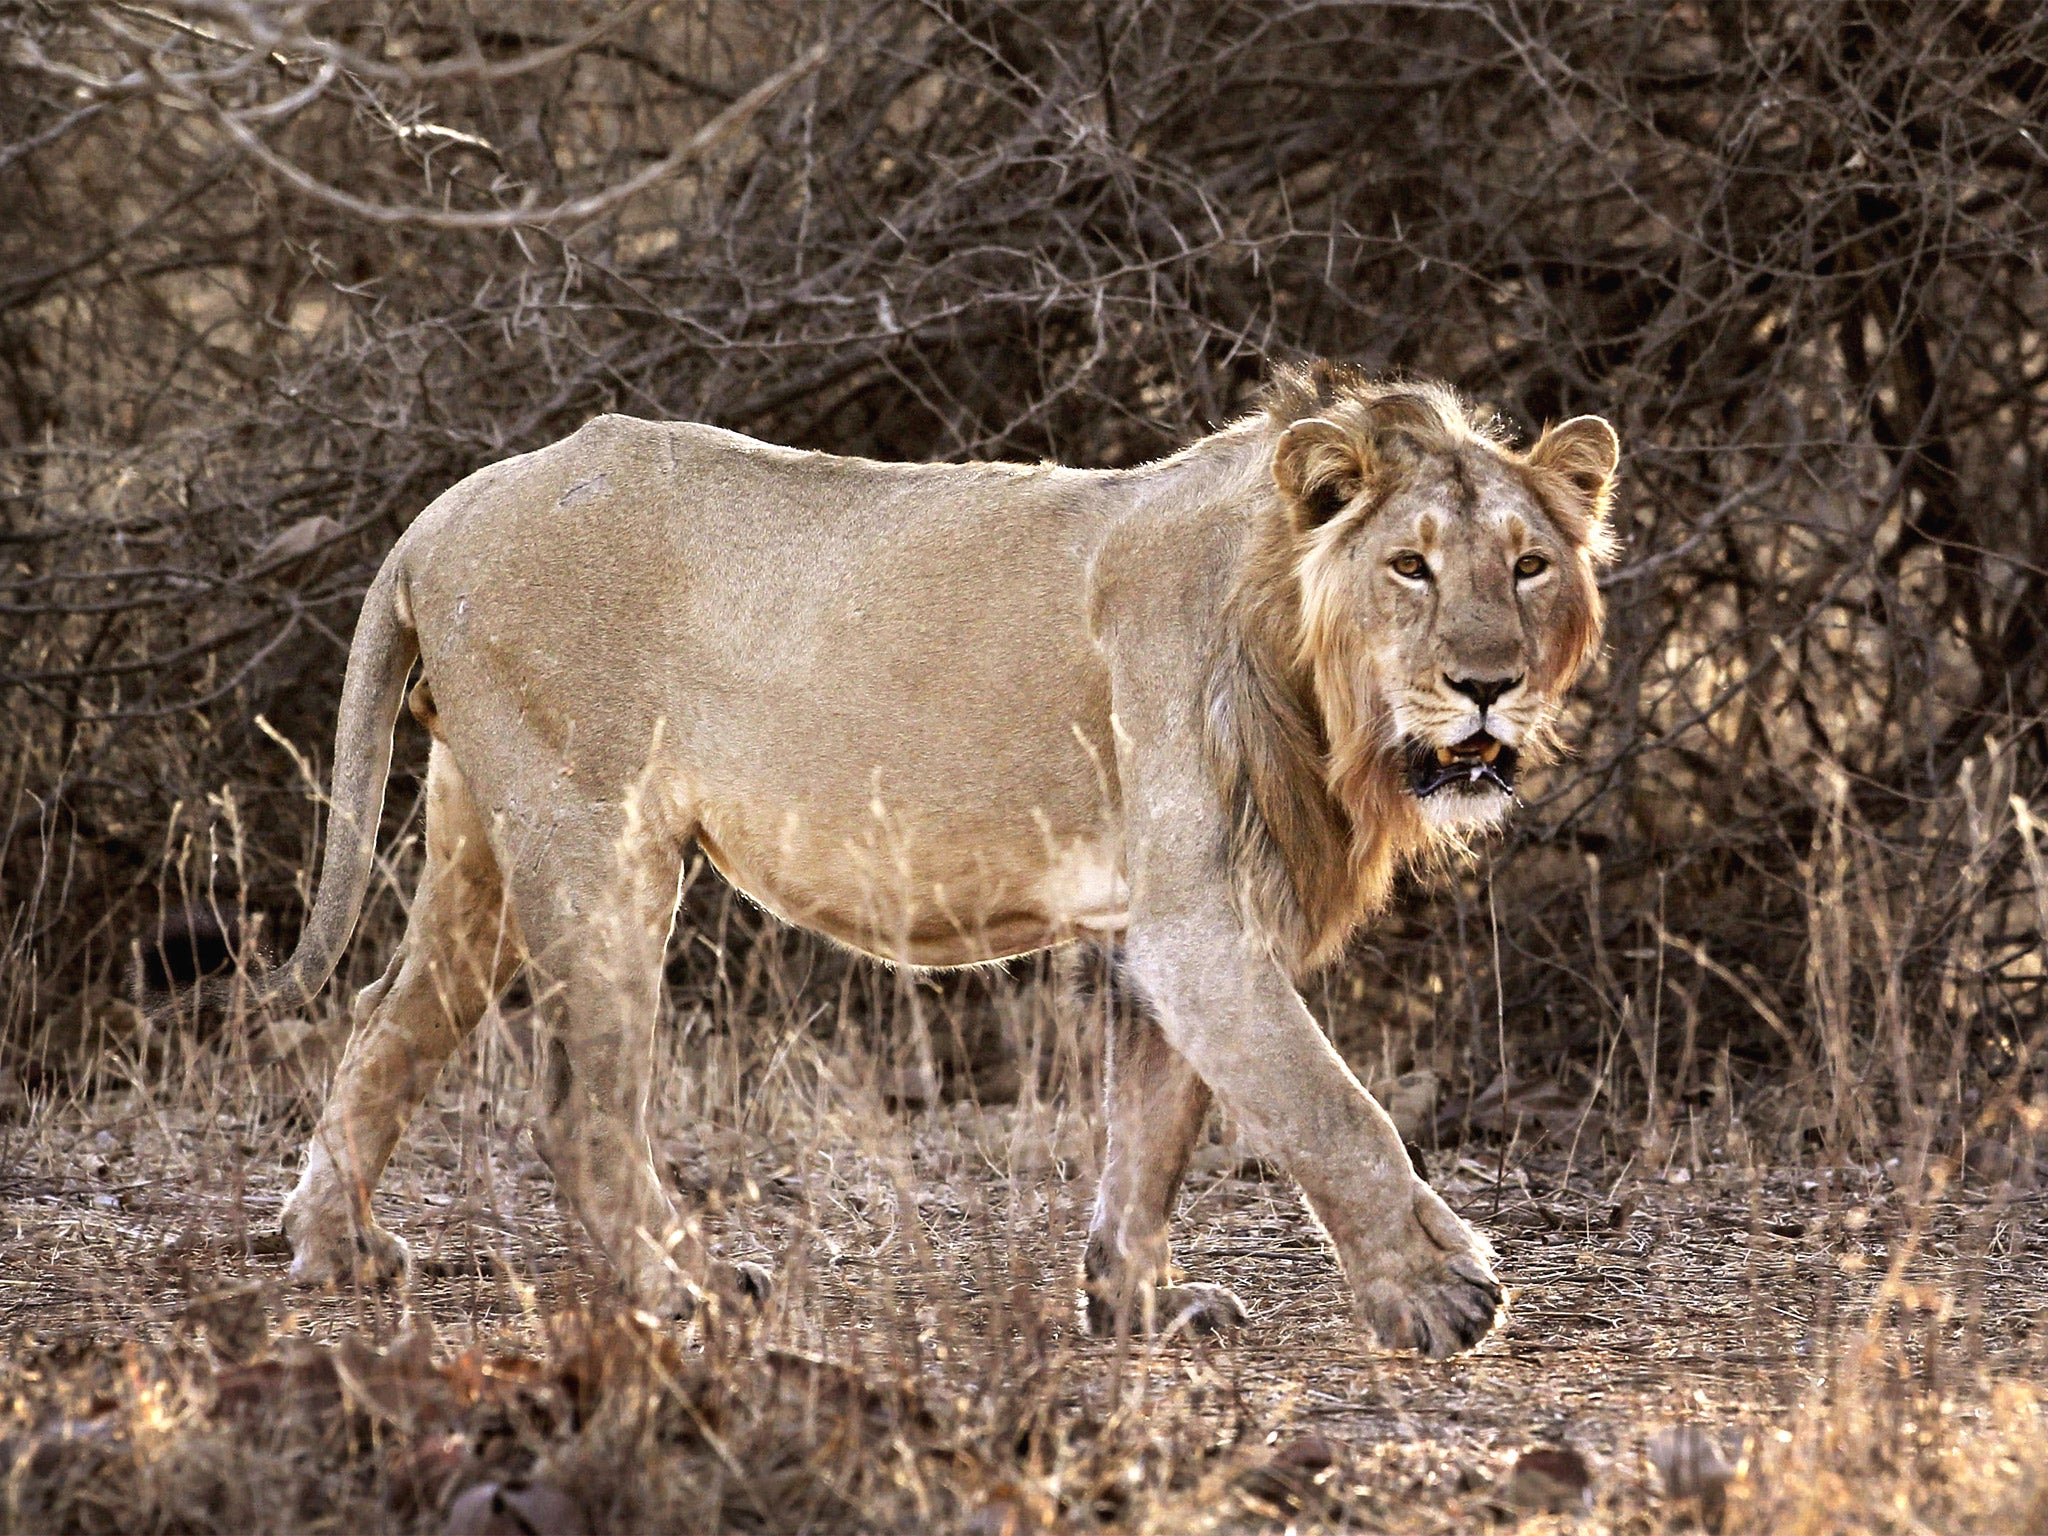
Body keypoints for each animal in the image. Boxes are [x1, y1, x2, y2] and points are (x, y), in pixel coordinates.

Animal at [243, 358, 1613, 1359]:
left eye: (1528, 565)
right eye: (1408, 566)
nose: (1485, 685)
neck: (1305, 666)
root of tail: (446, 509)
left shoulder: (1160, 930)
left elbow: (1152, 1131)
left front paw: (1136, 1303)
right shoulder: (1199, 927)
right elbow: (1332, 1108)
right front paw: (1438, 1294)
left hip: (479, 844)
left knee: (384, 1022)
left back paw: (337, 1247)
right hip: (594, 838)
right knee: (580, 1107)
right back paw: (686, 1288)